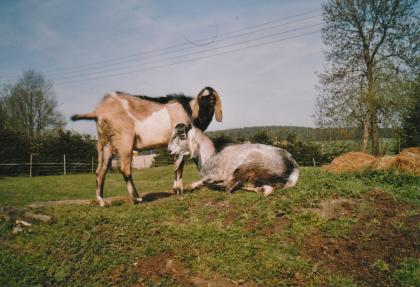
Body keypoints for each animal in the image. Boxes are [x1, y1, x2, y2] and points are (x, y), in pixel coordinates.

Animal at [71, 86, 223, 206]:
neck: (189, 110)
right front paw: (178, 190)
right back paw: (137, 199)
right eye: (201, 98)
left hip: (105, 143)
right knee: (124, 169)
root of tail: (99, 111)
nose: (205, 112)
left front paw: (179, 189)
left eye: (212, 99)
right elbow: (179, 166)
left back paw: (102, 201)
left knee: (100, 171)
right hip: (125, 140)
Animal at [167, 122, 298, 197]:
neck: (209, 153)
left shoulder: (215, 174)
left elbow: (204, 182)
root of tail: (291, 163)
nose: (169, 151)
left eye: (182, 135)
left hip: (247, 166)